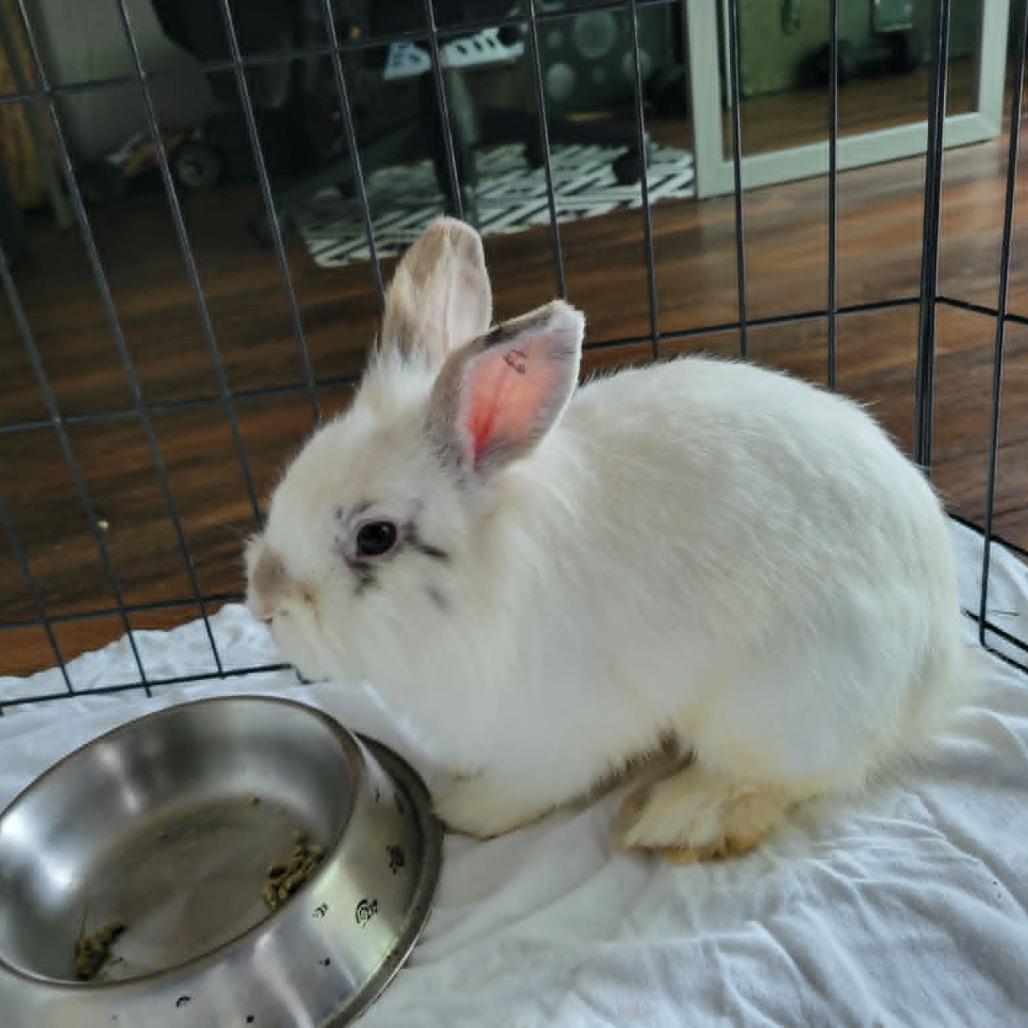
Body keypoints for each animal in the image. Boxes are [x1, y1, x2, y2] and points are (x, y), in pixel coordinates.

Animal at [245, 216, 969, 860]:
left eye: (376, 536)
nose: (263, 604)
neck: (483, 581)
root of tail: (931, 671)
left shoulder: (562, 728)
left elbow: (533, 784)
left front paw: (466, 809)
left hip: (775, 705)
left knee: (791, 777)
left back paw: (685, 816)